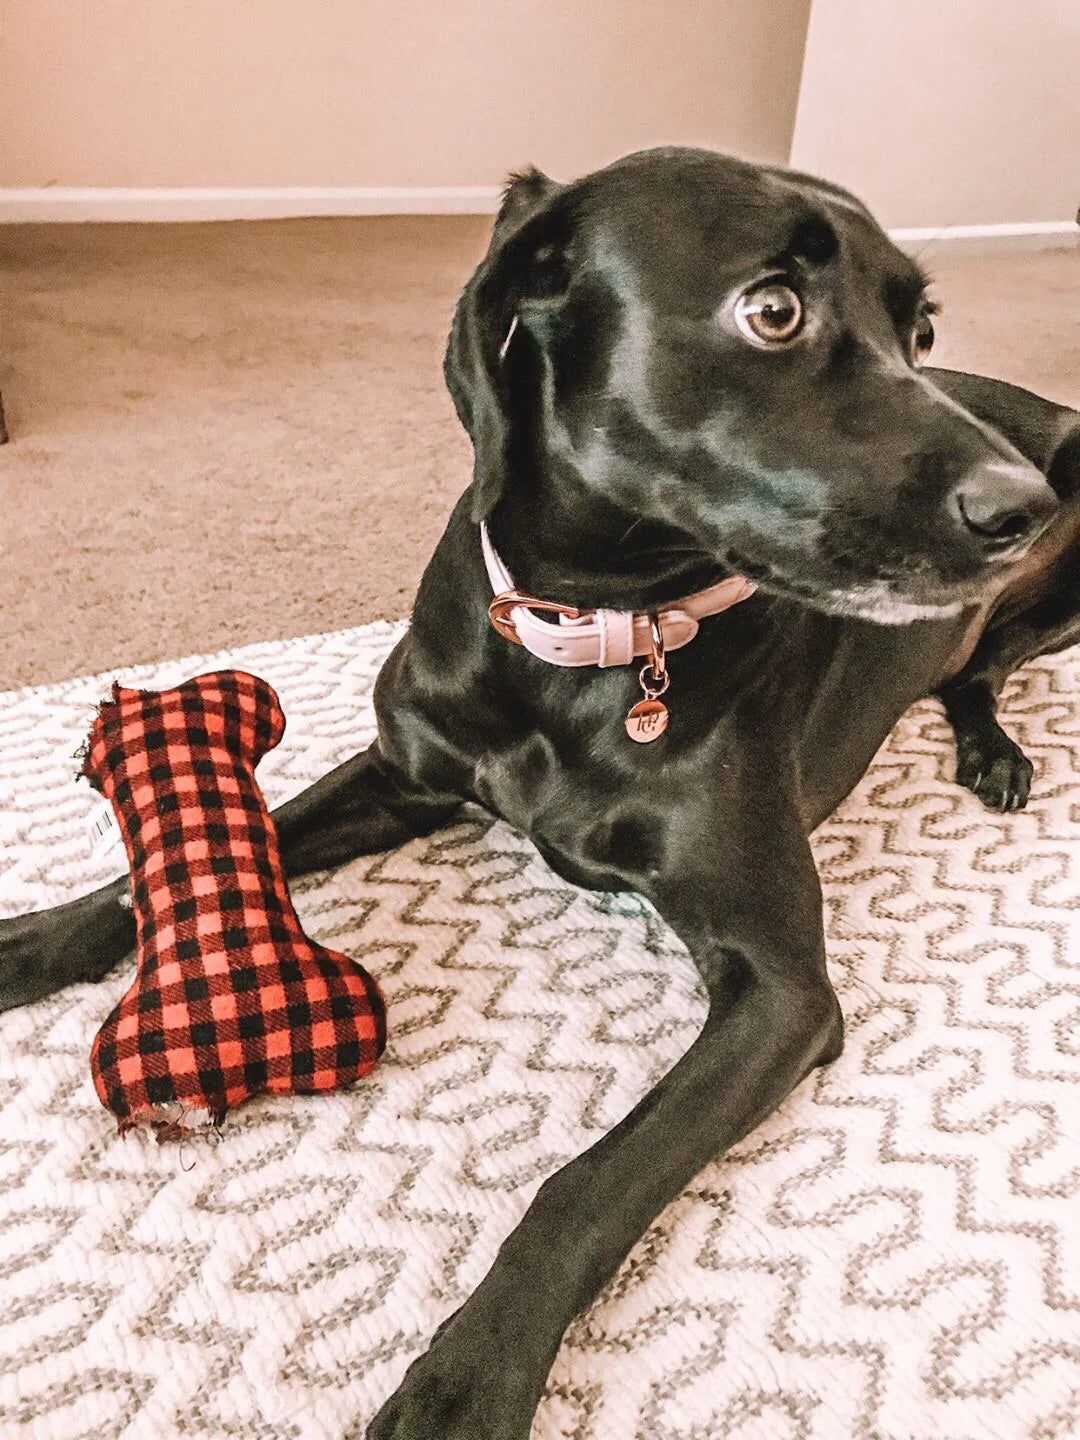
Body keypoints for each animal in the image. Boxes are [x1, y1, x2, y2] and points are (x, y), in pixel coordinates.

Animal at [2, 151, 1080, 1434]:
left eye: (920, 332)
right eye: (773, 309)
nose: (1019, 511)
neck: (590, 633)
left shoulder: (780, 993)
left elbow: (590, 1182)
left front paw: (469, 1374)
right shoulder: (405, 774)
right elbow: (210, 850)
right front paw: (26, 940)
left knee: (985, 663)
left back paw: (996, 751)